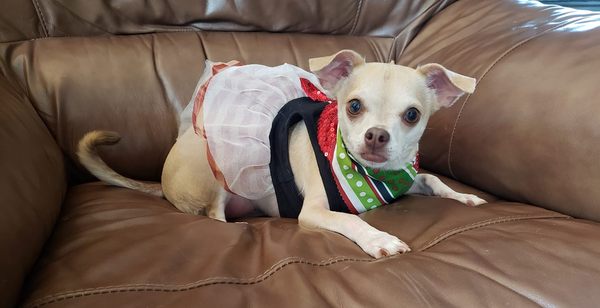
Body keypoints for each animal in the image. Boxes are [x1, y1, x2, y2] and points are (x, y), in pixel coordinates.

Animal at [77, 50, 486, 258]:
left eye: (412, 115)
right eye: (353, 106)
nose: (376, 136)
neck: (366, 173)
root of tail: (162, 182)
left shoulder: (404, 176)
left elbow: (431, 178)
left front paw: (463, 196)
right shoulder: (316, 212)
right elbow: (351, 221)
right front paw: (380, 239)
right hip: (215, 174)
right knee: (212, 213)